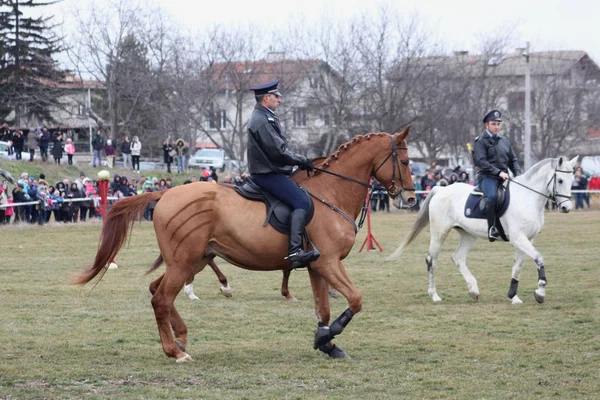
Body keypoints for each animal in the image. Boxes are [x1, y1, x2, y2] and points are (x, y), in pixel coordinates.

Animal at [72, 129, 414, 362]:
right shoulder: (329, 262)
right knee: (161, 298)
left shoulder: (318, 266)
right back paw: (175, 351)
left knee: (158, 291)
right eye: (406, 161)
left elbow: (324, 308)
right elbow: (355, 300)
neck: (332, 191)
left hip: (192, 260)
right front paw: (329, 337)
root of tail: (165, 193)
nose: (410, 197)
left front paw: (325, 342)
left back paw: (181, 337)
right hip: (184, 261)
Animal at [386, 155, 580, 304]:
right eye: (560, 180)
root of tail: (441, 189)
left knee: (458, 258)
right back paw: (434, 296)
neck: (527, 198)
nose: (566, 207)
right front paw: (540, 292)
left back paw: (473, 290)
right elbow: (539, 258)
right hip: (439, 233)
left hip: (468, 235)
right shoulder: (519, 238)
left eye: (572, 181)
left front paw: (513, 296)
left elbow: (518, 266)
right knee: (431, 260)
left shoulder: (527, 239)